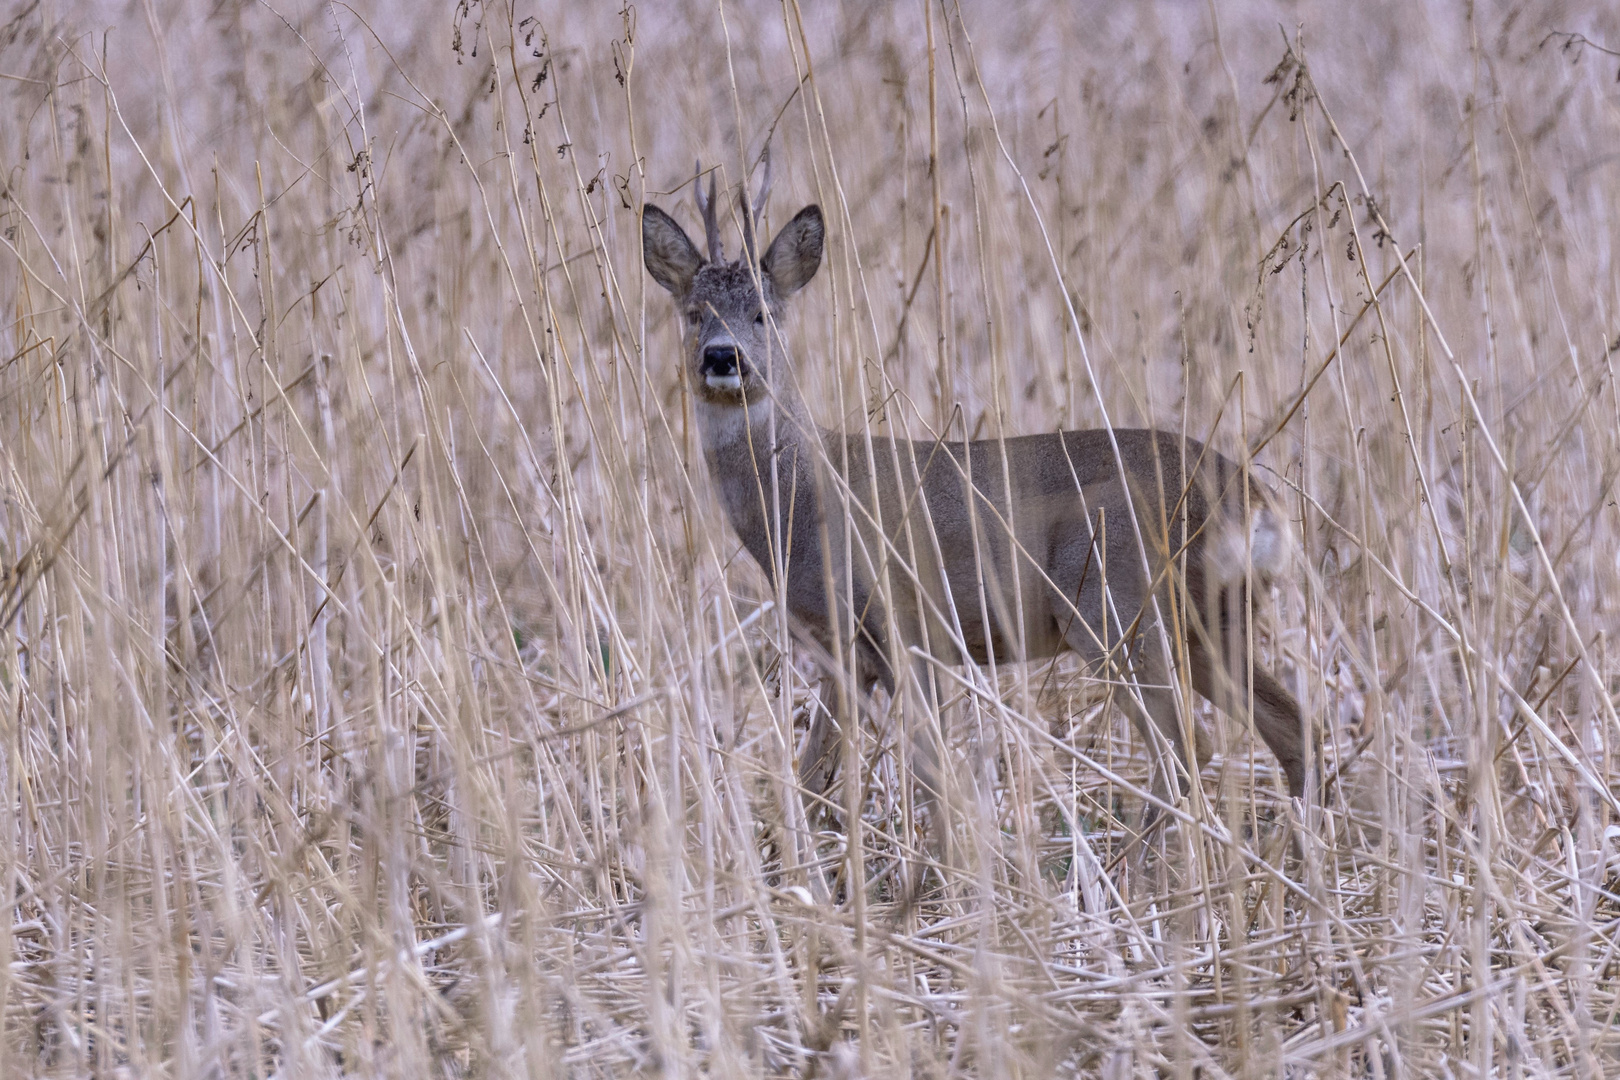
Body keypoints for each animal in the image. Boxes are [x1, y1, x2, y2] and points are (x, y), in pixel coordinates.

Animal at [638, 165, 1308, 816]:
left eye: (765, 313)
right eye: (693, 311)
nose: (722, 358)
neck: (804, 499)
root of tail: (1253, 501)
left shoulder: (904, 625)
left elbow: (934, 775)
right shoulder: (843, 650)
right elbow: (811, 778)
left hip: (1118, 610)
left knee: (1186, 754)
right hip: (1209, 622)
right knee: (1291, 723)